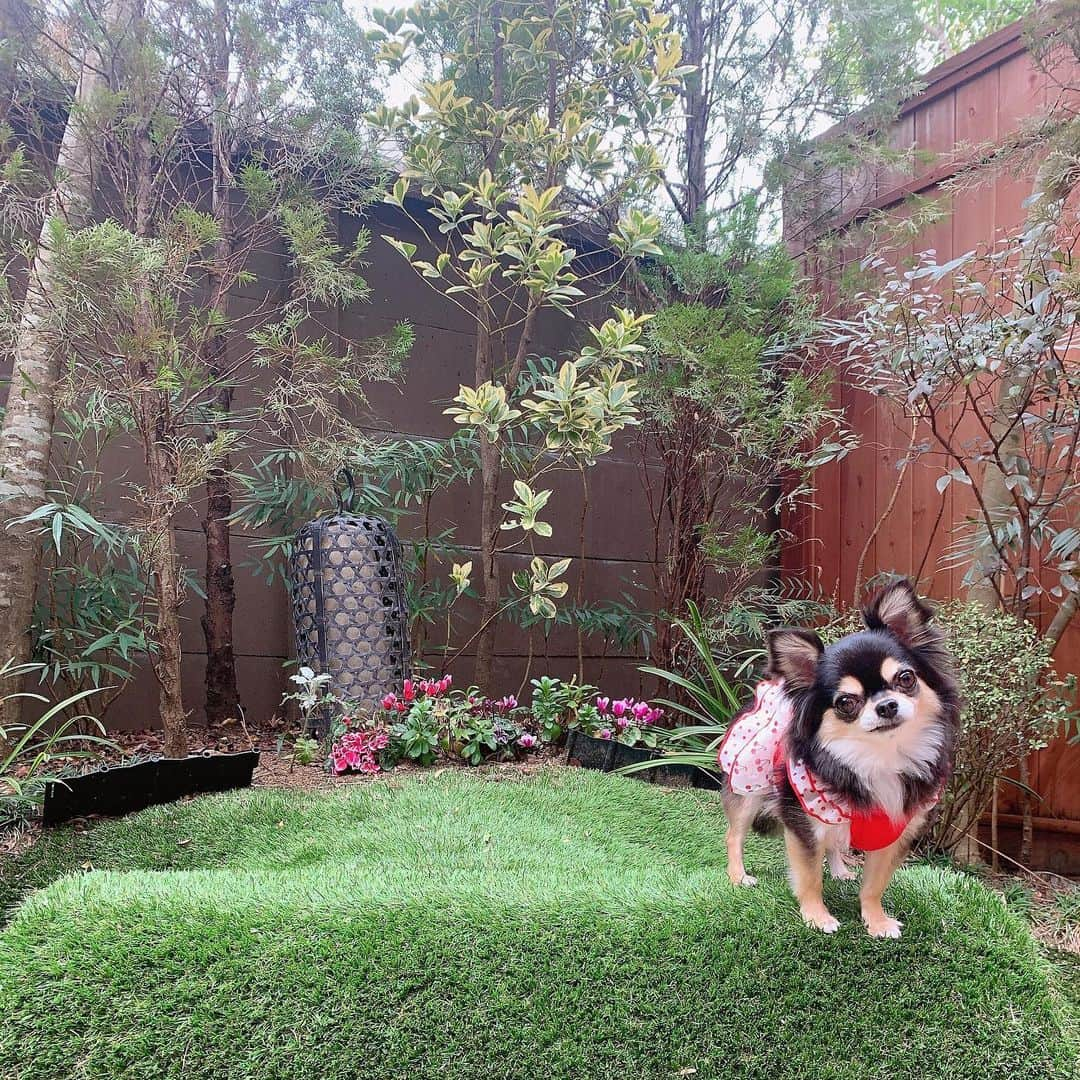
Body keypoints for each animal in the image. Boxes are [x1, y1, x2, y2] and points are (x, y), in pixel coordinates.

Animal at [717, 583, 963, 937]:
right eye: (846, 702)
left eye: (906, 678)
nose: (886, 705)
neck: (879, 757)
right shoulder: (804, 822)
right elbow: (809, 877)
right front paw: (817, 917)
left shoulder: (895, 830)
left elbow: (874, 885)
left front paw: (876, 920)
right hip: (749, 785)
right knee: (734, 834)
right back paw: (739, 876)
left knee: (834, 844)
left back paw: (840, 870)